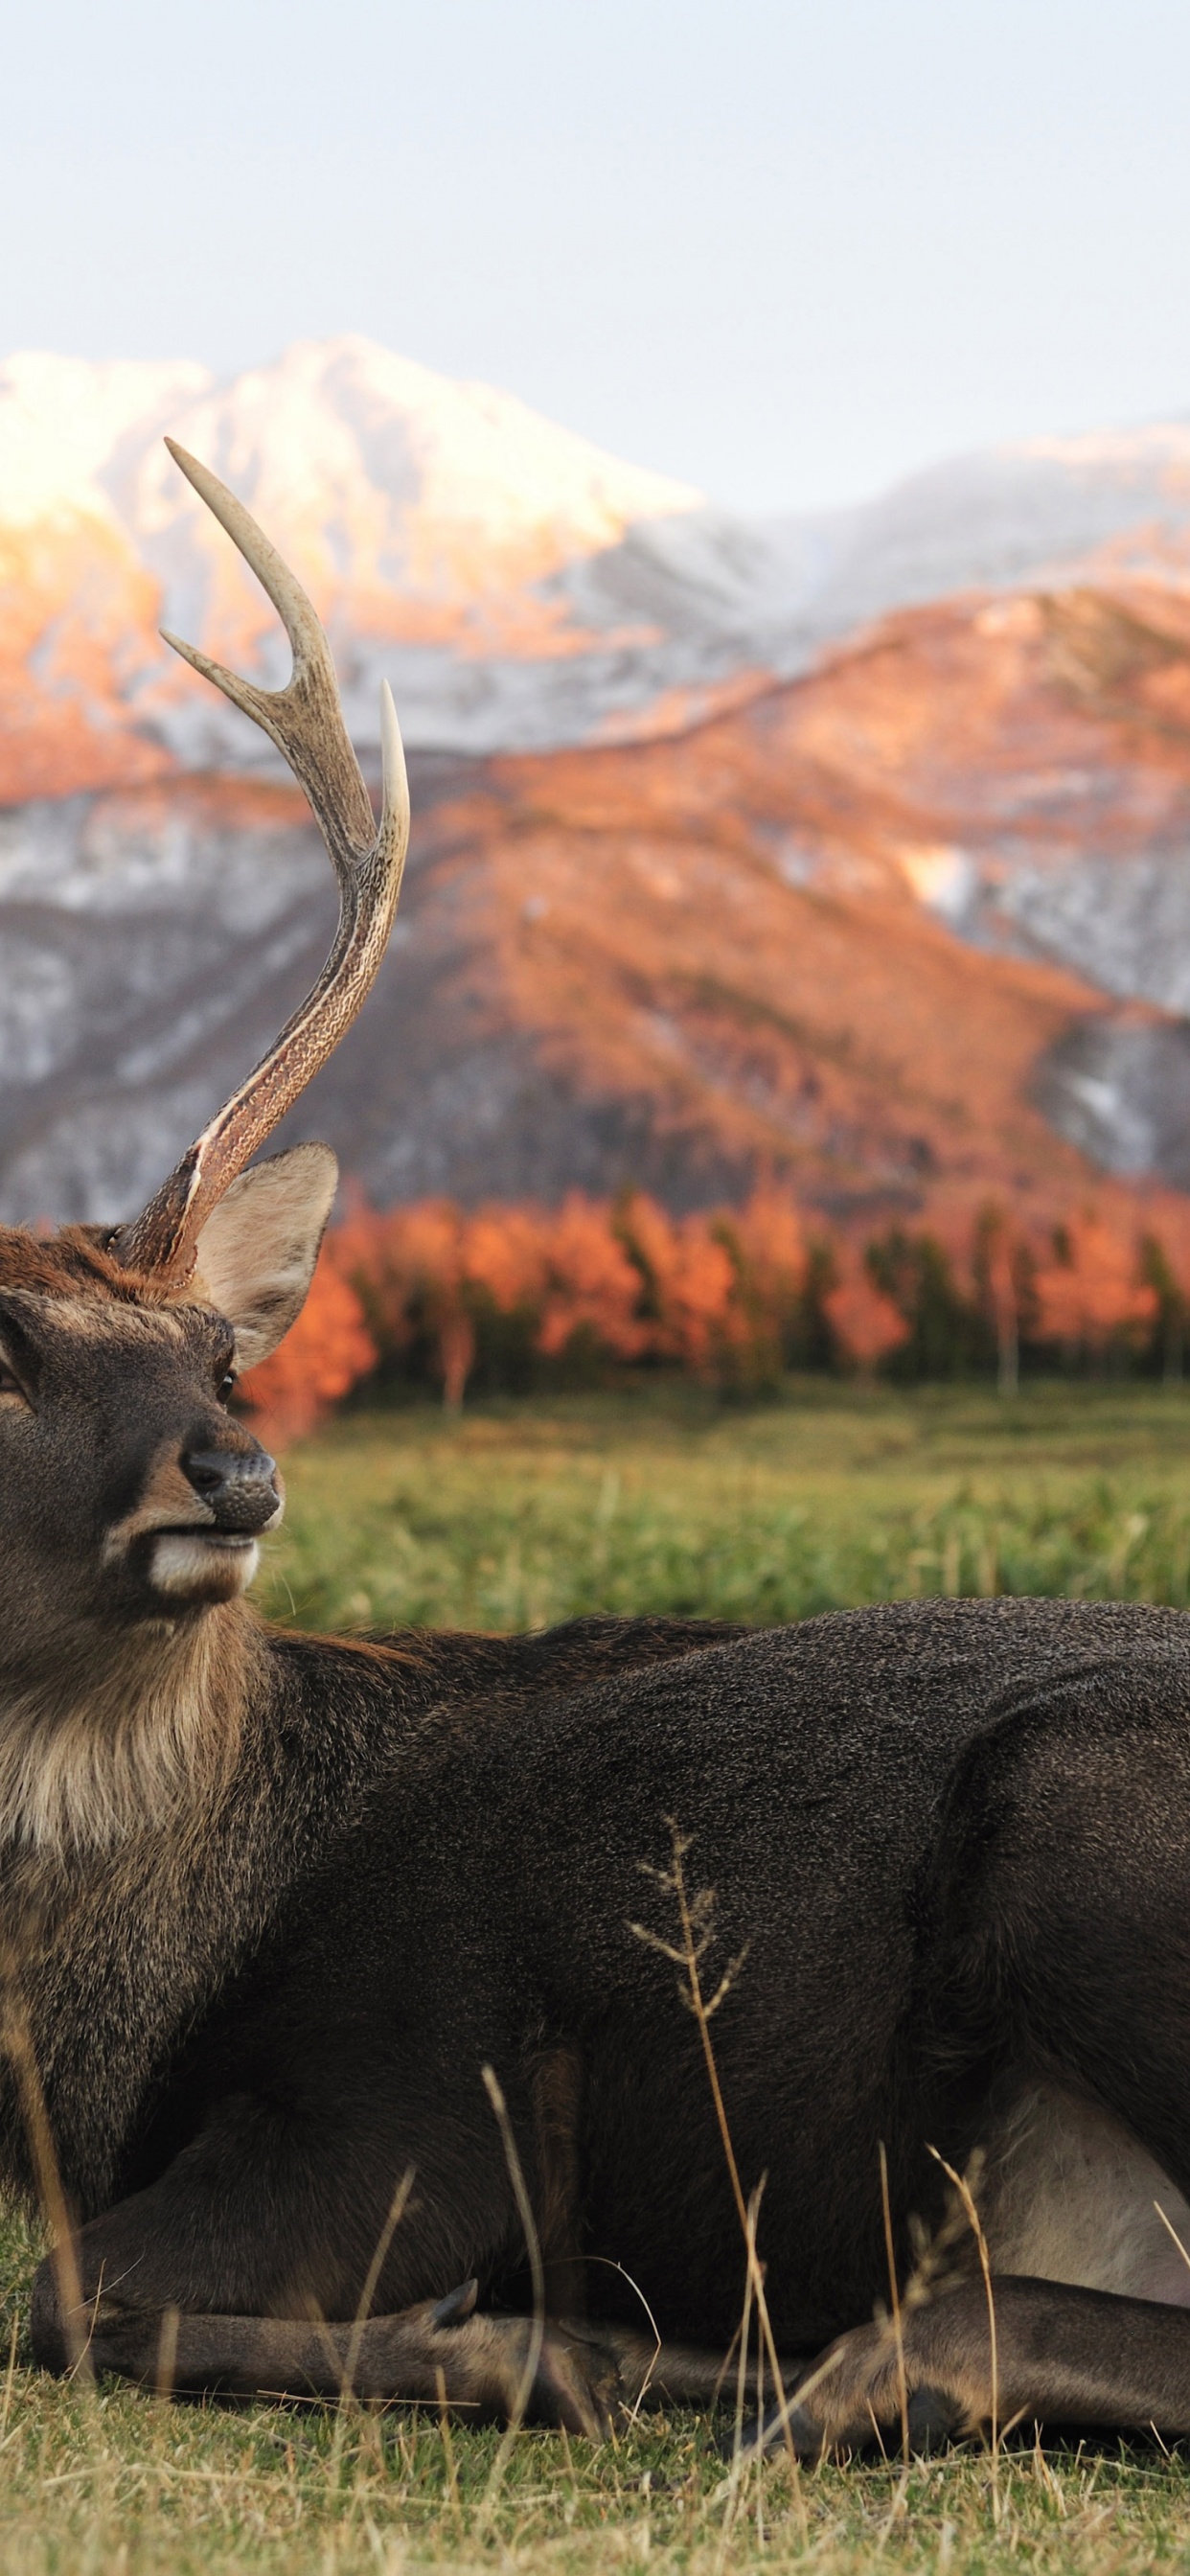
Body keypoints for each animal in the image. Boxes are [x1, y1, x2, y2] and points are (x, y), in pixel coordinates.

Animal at [11, 437, 1190, 2451]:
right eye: (1, 1351)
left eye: (217, 1356)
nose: (232, 1473)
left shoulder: (420, 2089)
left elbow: (68, 2296)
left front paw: (495, 2337)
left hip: (1070, 1804)